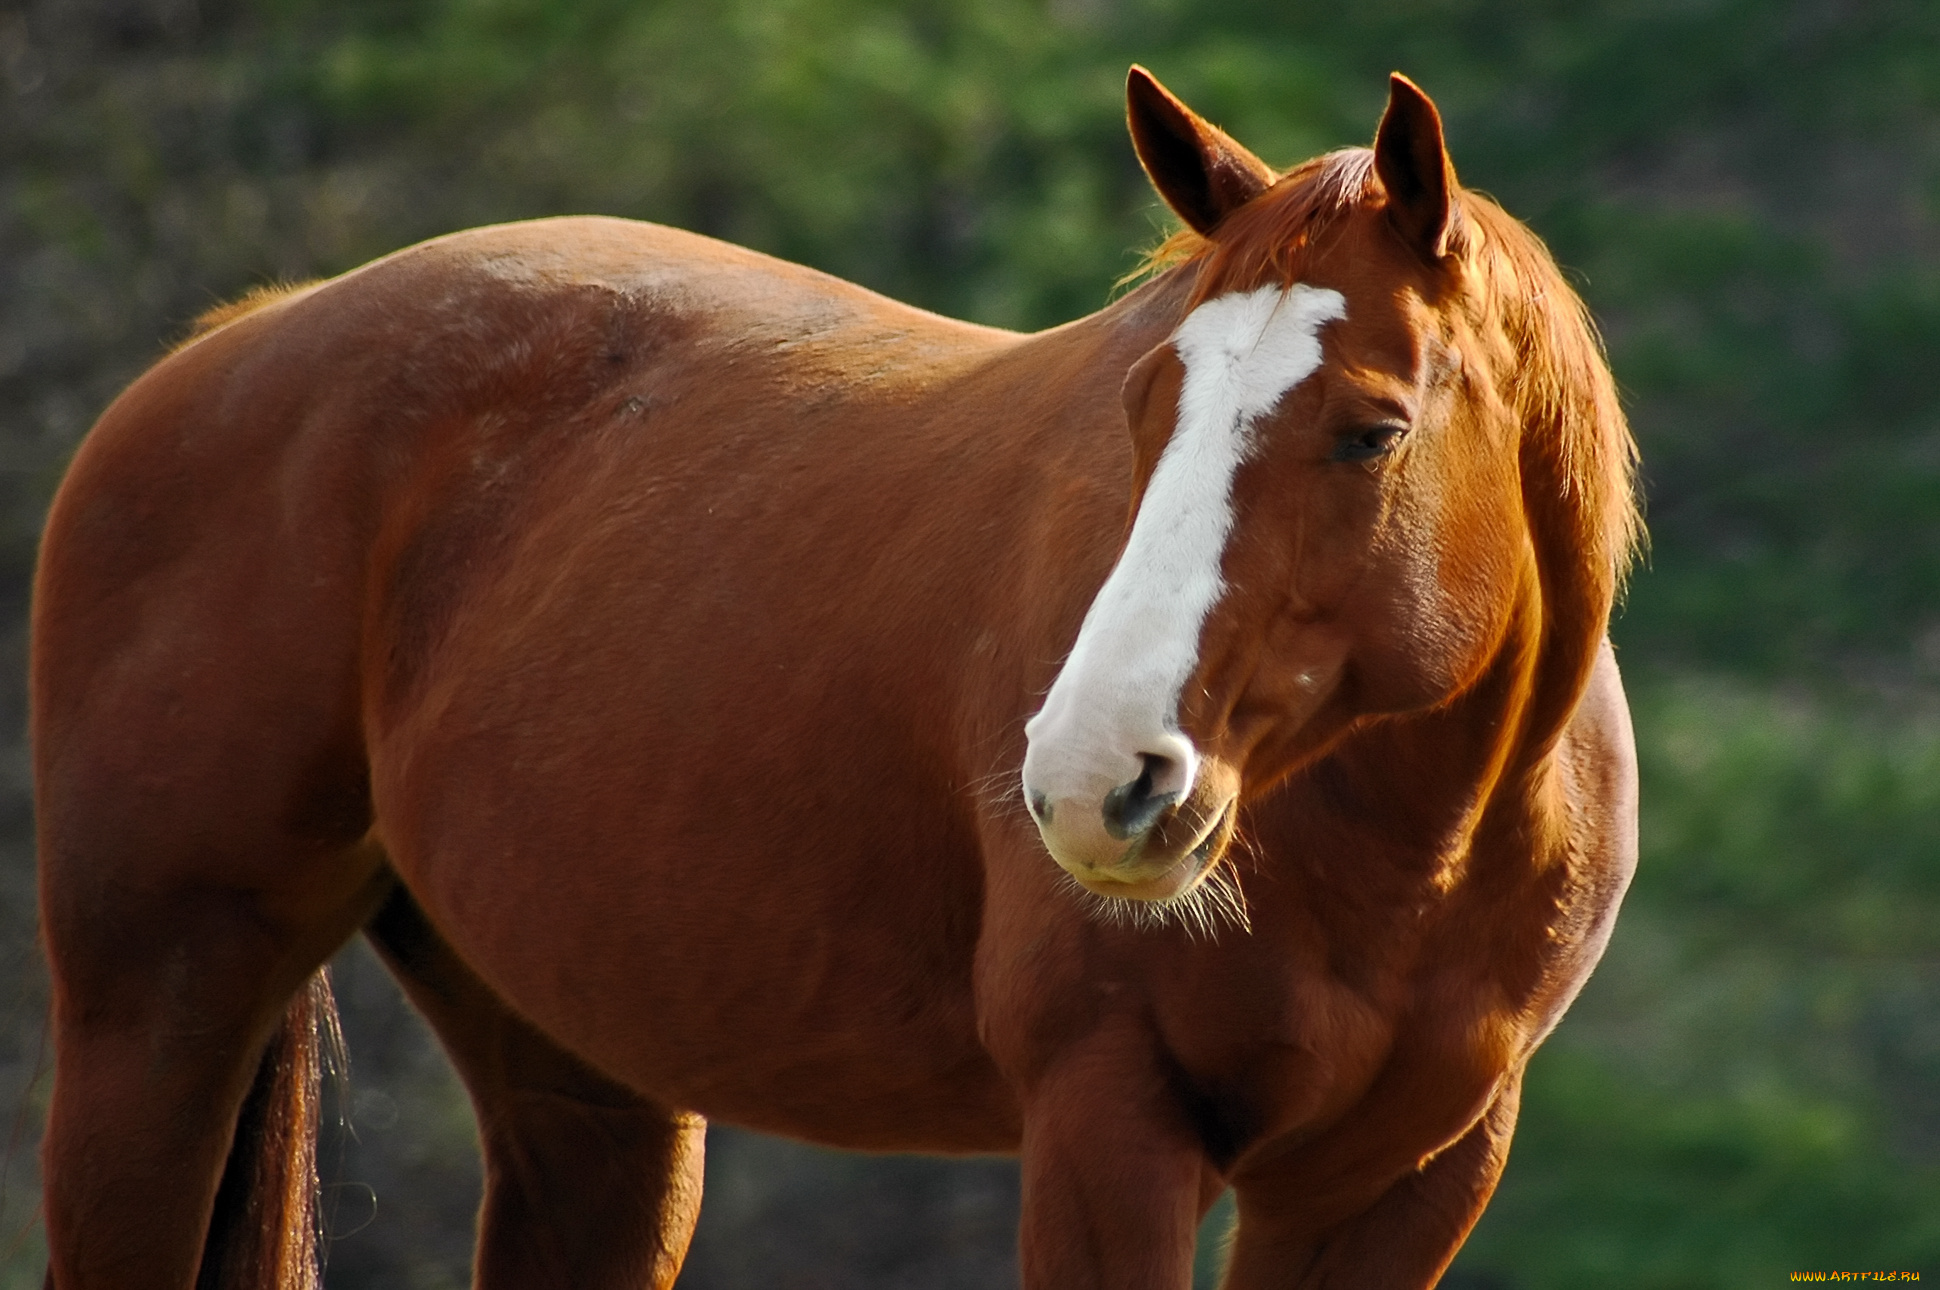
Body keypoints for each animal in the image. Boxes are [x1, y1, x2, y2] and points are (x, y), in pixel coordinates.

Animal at [30, 70, 1637, 1288]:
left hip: (585, 1091)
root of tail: (246, 334)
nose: (1092, 779)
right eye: (1144, 401)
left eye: (1371, 429)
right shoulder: (1108, 1125)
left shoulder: (1392, 1185)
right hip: (154, 1012)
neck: (1400, 856)